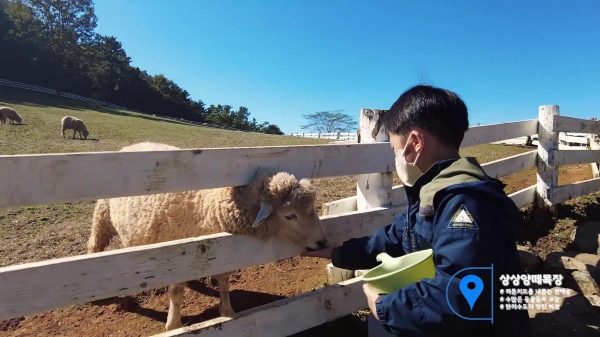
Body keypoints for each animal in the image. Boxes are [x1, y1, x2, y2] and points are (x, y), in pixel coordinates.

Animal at [86, 140, 326, 330]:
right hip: (103, 216)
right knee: (94, 246)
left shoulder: (223, 251)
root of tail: (135, 144)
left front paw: (227, 311)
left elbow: (224, 282)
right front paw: (174, 325)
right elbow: (176, 292)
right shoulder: (176, 253)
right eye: (290, 215)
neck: (208, 206)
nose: (323, 241)